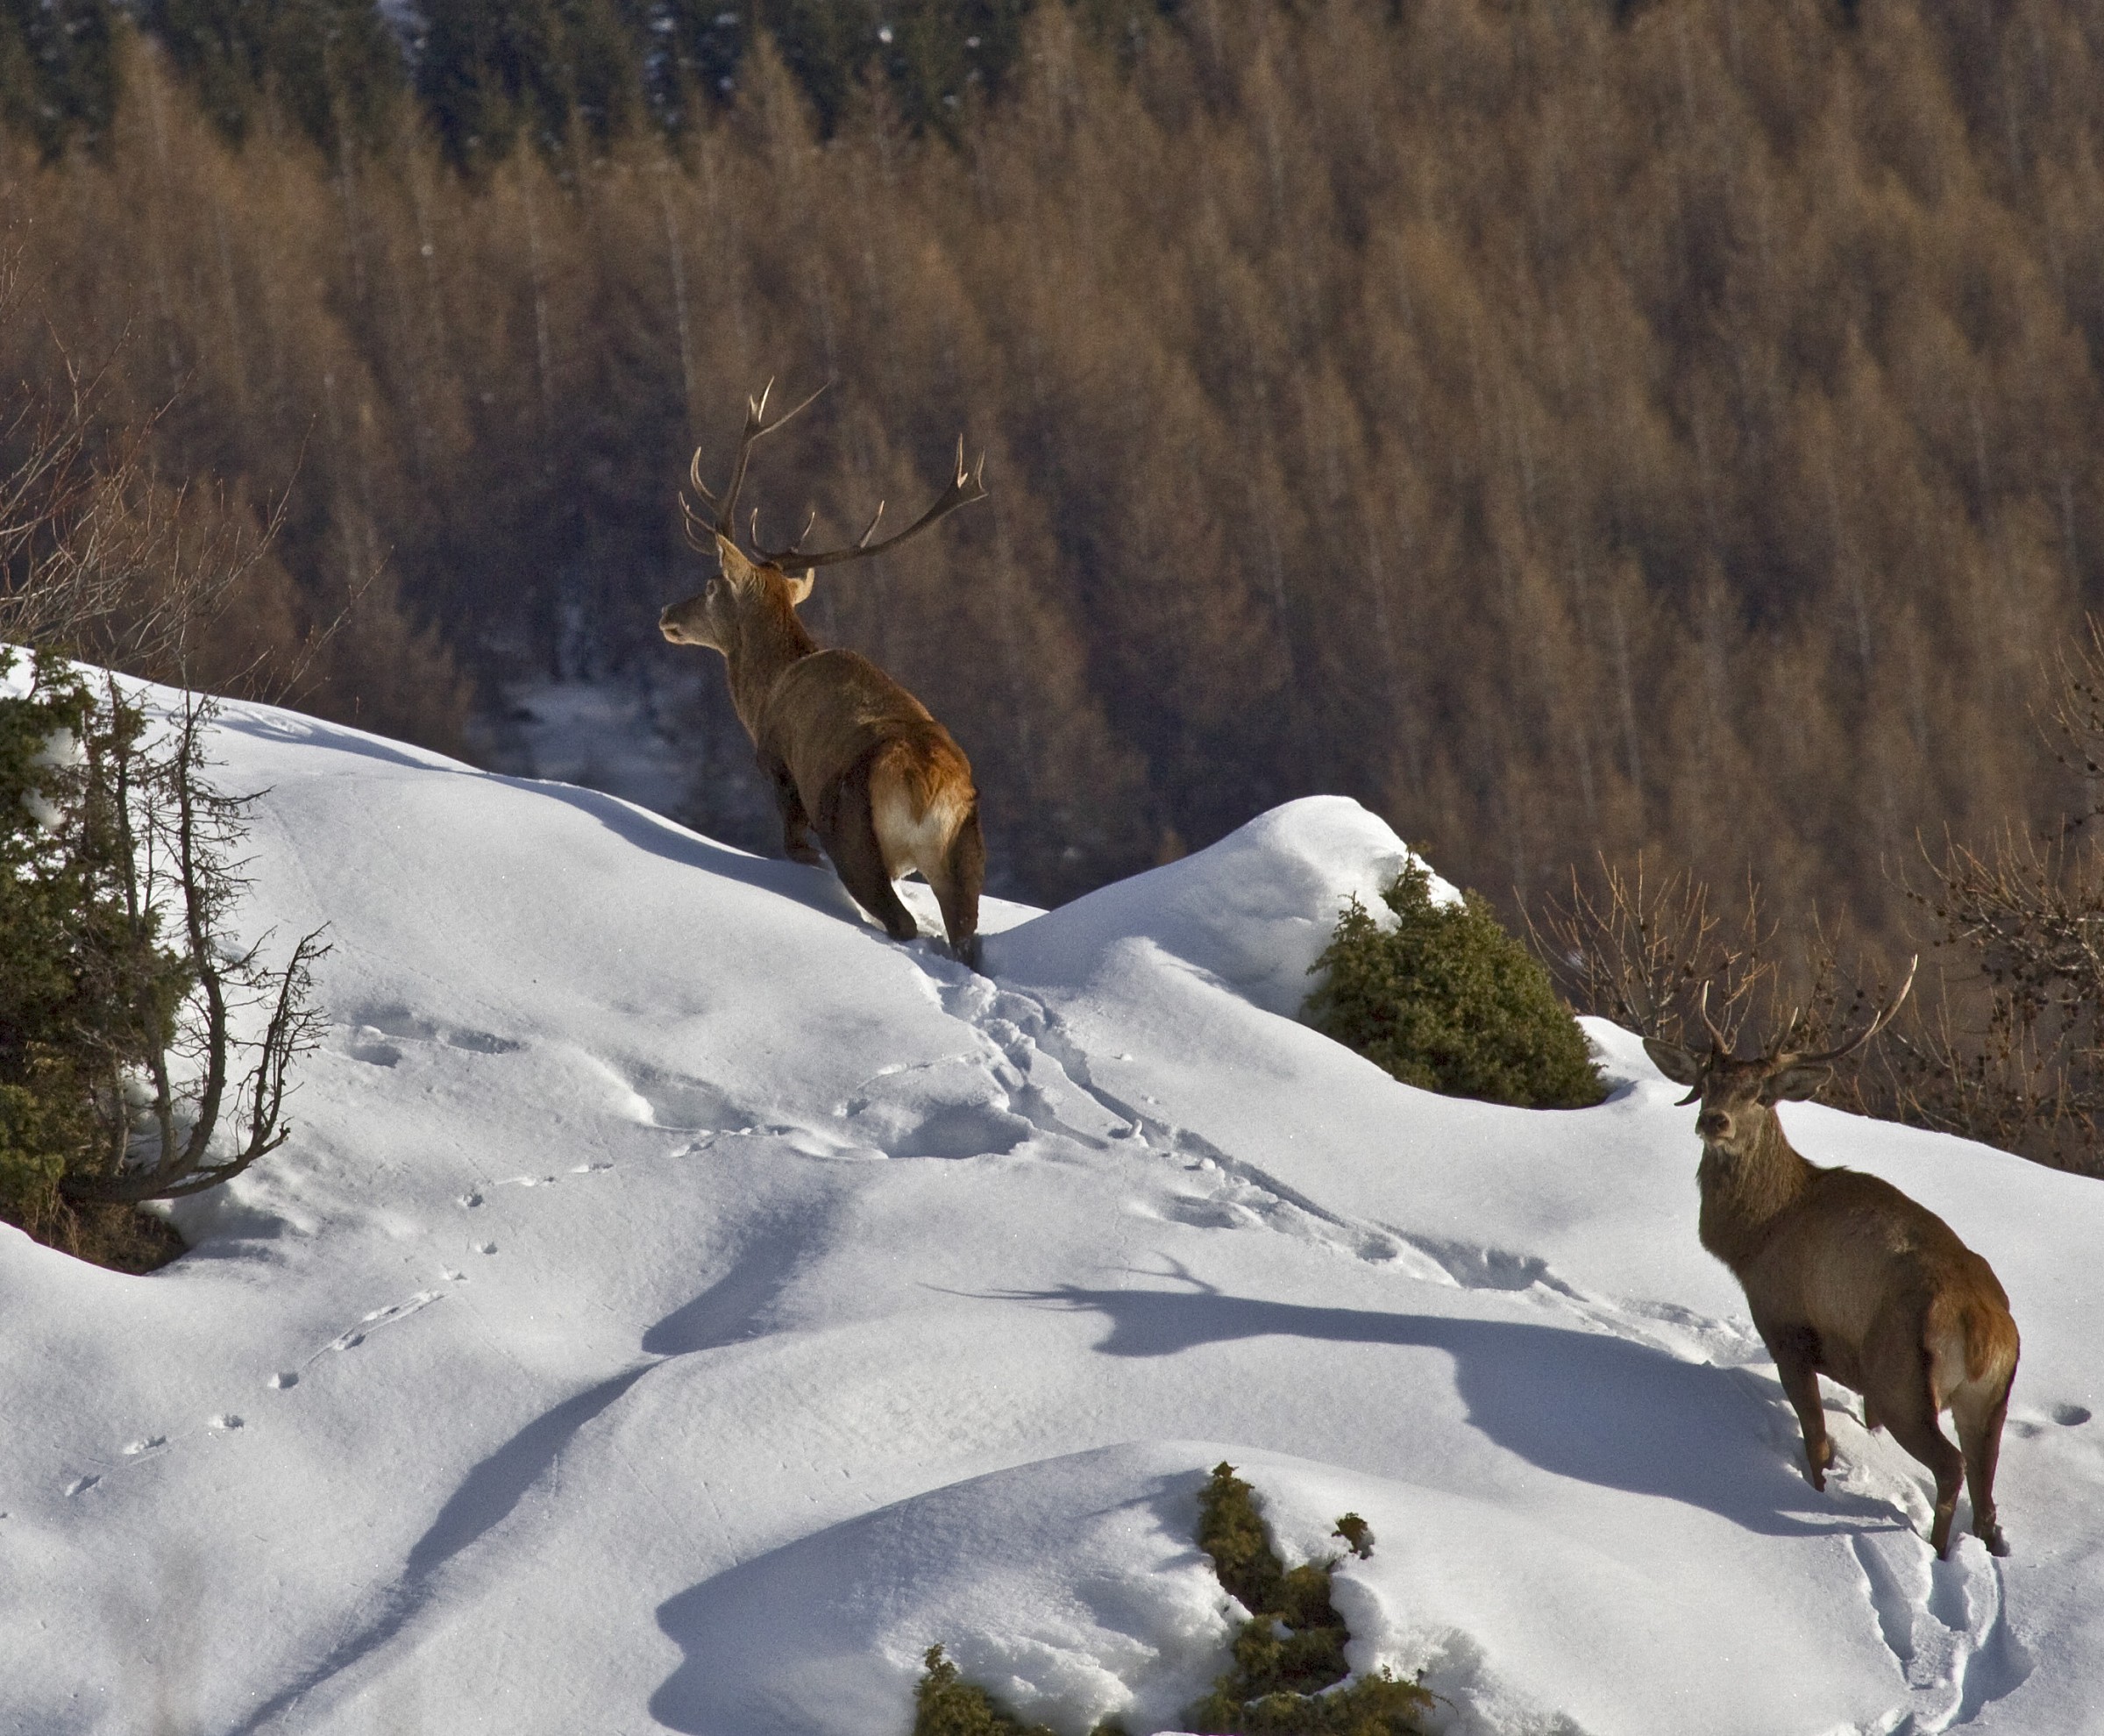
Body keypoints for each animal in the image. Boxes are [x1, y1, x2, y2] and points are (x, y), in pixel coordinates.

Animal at [659, 383, 988, 969]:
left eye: (712, 585)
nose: (667, 613)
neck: (764, 694)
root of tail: (929, 786)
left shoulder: (777, 768)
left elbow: (793, 847)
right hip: (966, 848)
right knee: (968, 940)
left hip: (852, 829)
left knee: (899, 918)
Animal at [1642, 962, 2021, 1559]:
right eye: (1706, 1084)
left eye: (1761, 1095)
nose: (1714, 1121)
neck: (1757, 1237)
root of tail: (1987, 1330)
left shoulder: (1786, 1327)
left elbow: (1818, 1442)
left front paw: (1818, 1487)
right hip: (1989, 1401)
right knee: (1986, 1500)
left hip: (1901, 1379)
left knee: (1950, 1465)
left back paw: (1933, 1550)